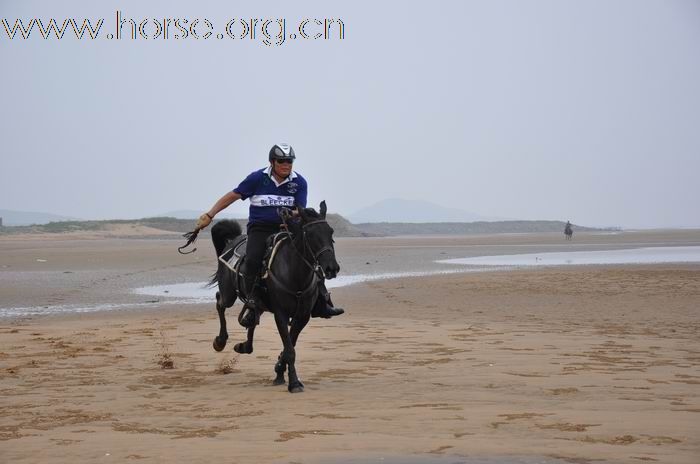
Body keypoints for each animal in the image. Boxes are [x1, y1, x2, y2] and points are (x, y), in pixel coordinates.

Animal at [208, 201, 340, 394]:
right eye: (310, 234)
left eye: (330, 232)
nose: (331, 268)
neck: (295, 274)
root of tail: (232, 241)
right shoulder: (281, 314)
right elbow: (290, 350)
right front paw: (294, 383)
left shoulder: (302, 316)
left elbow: (289, 346)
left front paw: (279, 371)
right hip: (229, 294)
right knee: (220, 302)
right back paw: (220, 341)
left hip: (259, 304)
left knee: (252, 319)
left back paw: (244, 346)